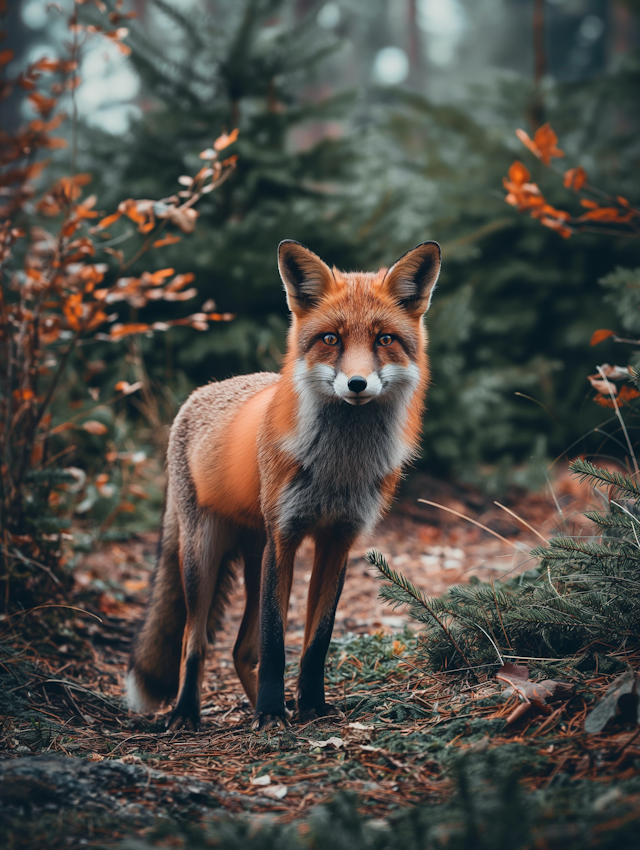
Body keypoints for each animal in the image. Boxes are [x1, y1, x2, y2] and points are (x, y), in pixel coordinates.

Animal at [127, 238, 442, 728]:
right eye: (331, 339)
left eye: (384, 339)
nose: (357, 383)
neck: (339, 468)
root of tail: (200, 392)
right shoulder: (285, 536)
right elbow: (276, 643)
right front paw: (273, 713)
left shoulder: (338, 540)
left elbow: (316, 643)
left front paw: (310, 705)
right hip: (205, 556)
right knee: (193, 642)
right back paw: (186, 712)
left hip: (254, 559)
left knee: (240, 651)